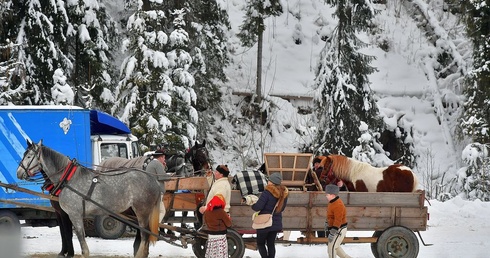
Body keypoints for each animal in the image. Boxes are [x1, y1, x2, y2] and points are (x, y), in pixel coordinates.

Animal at [15, 141, 160, 258]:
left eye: (28, 156)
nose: (18, 172)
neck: (68, 179)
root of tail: (152, 179)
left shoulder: (74, 215)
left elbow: (80, 243)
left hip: (142, 212)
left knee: (144, 236)